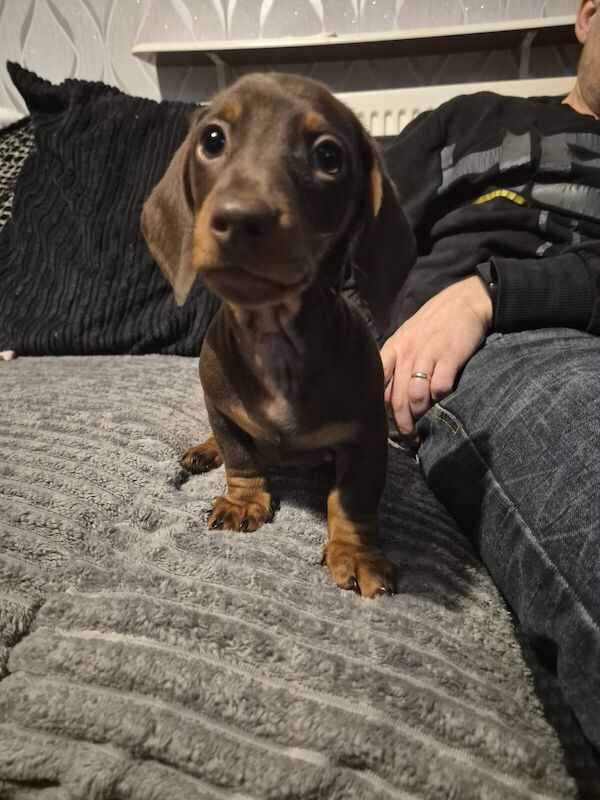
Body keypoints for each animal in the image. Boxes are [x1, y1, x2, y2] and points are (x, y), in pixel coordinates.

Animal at [141, 75, 414, 596]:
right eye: (212, 139)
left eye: (328, 155)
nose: (240, 218)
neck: (274, 339)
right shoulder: (220, 405)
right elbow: (239, 455)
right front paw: (244, 500)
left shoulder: (366, 436)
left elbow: (352, 500)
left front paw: (355, 552)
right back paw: (203, 450)